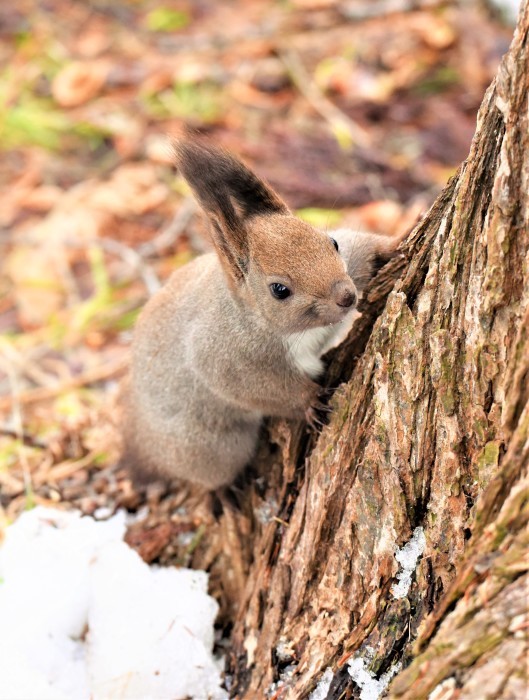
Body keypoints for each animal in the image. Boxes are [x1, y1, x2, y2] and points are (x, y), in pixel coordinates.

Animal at [119, 139, 400, 490]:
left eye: (332, 243)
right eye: (279, 290)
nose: (347, 297)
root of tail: (143, 440)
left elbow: (364, 252)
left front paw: (392, 246)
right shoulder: (226, 359)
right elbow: (264, 389)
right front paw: (308, 401)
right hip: (213, 448)